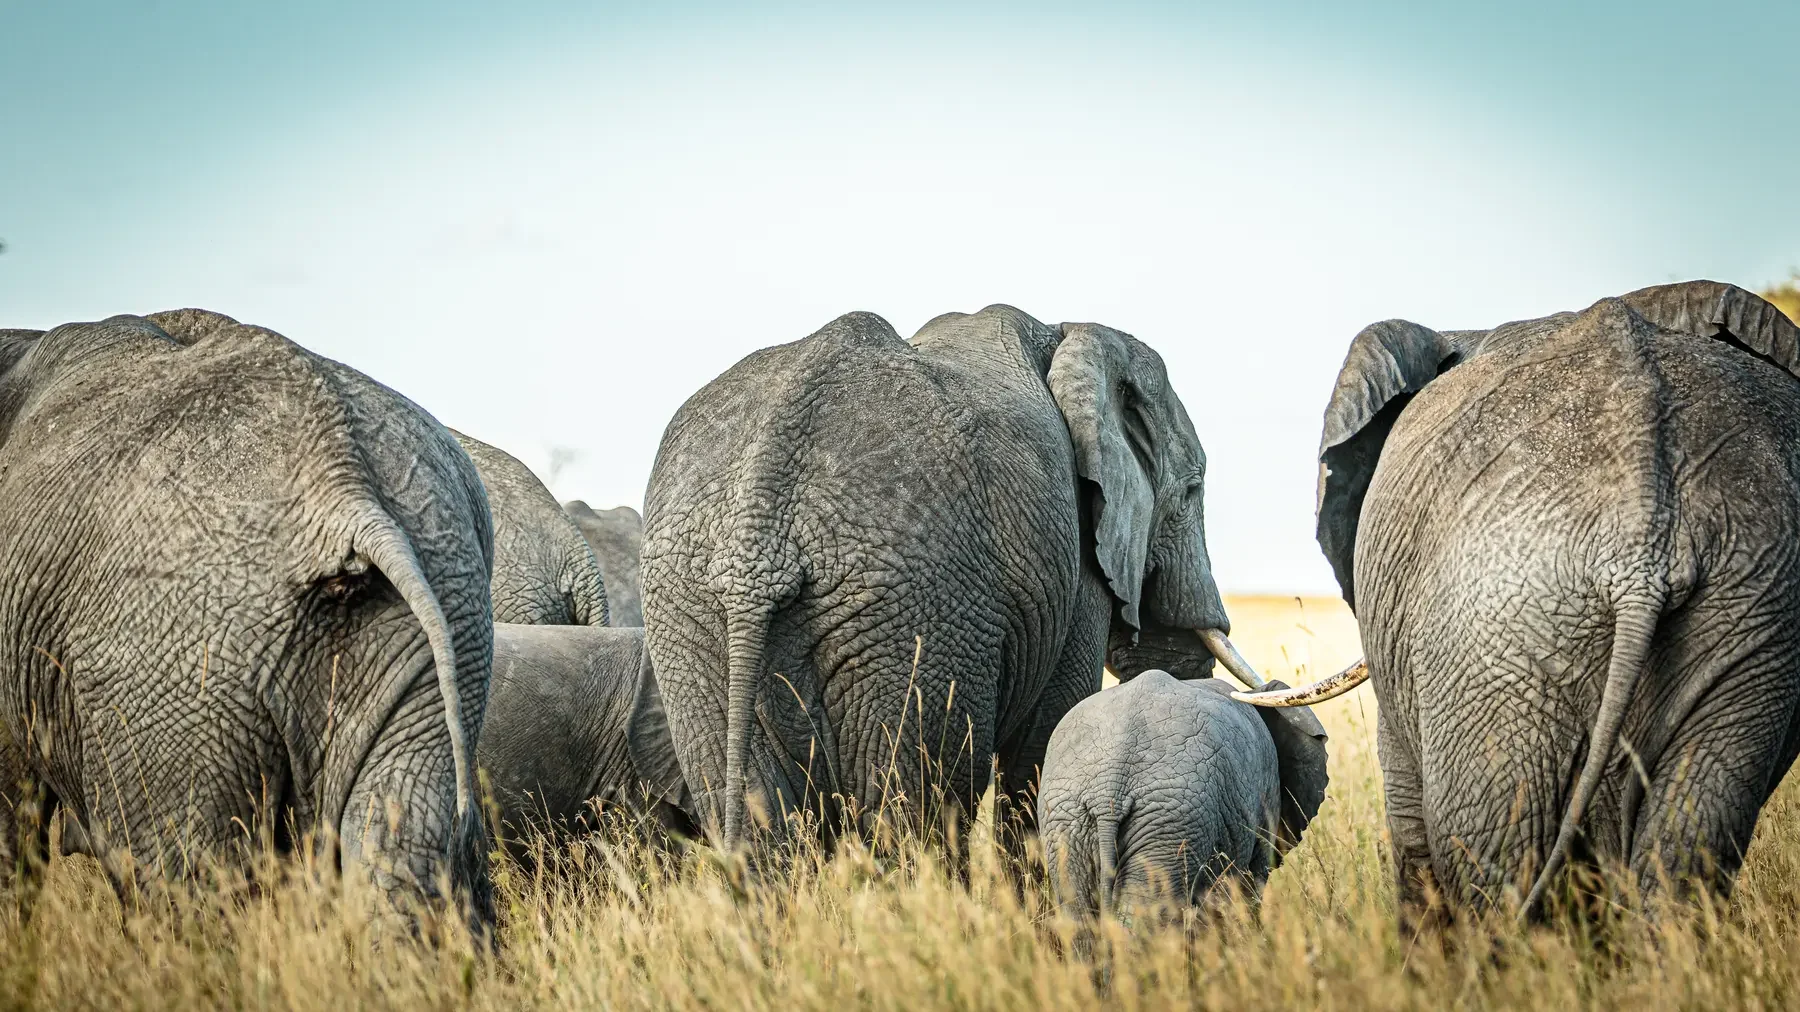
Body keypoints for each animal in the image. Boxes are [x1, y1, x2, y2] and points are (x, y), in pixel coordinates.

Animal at [642, 304, 1268, 853]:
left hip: (692, 617)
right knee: (911, 806)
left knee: (760, 813)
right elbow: (1042, 740)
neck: (1067, 335)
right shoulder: (1077, 564)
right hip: (915, 612)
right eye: (1193, 491)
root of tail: (763, 502)